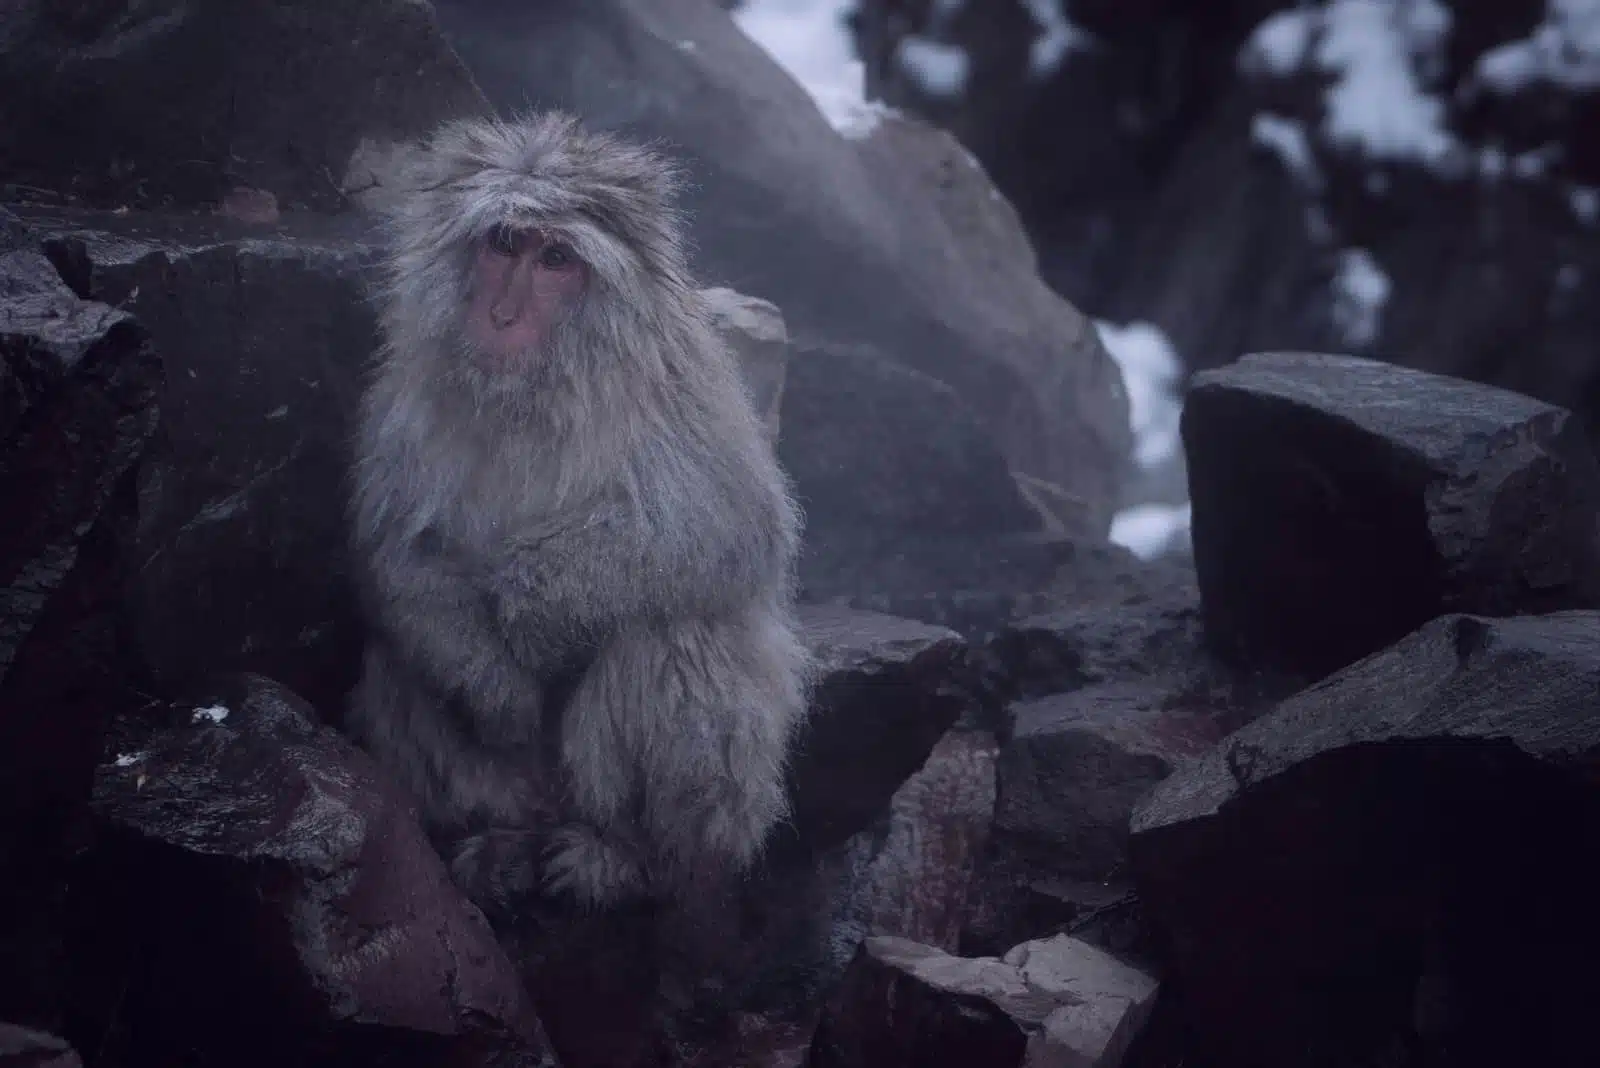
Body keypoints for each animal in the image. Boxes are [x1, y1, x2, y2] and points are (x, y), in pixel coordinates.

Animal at [344, 111, 812, 913]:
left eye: (557, 259)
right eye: (505, 244)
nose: (501, 314)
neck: (532, 394)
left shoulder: (671, 383)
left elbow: (725, 529)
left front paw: (529, 606)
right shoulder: (409, 391)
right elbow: (399, 555)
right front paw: (496, 690)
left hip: (714, 805)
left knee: (669, 633)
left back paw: (624, 855)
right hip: (511, 782)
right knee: (399, 649)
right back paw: (499, 838)